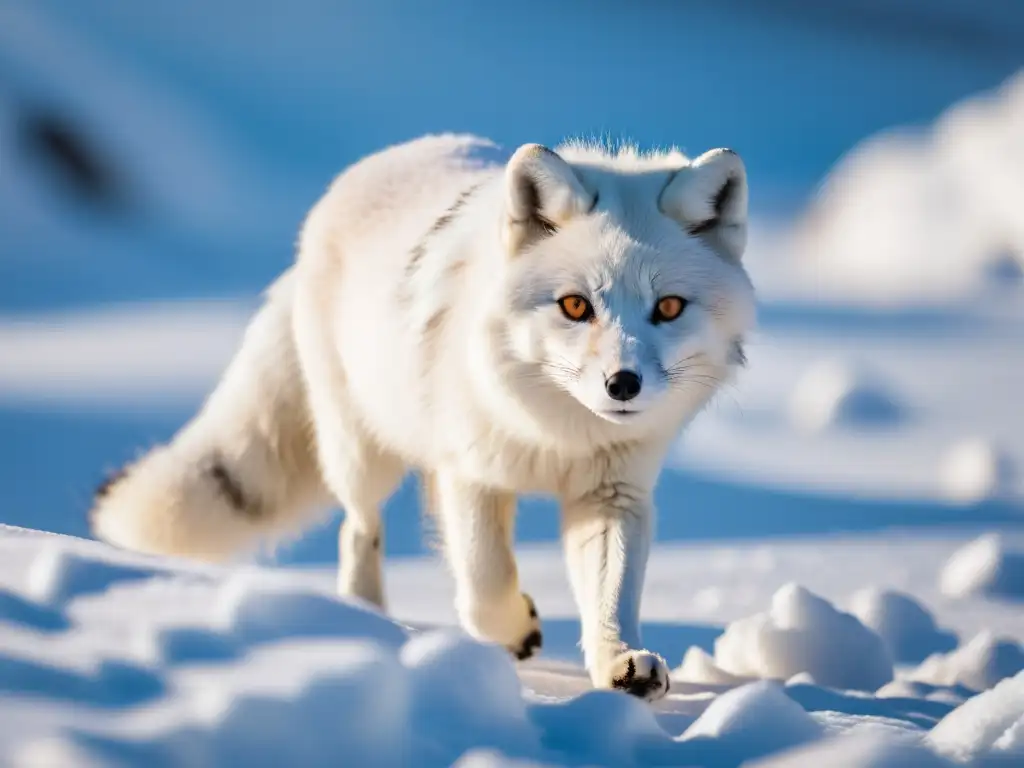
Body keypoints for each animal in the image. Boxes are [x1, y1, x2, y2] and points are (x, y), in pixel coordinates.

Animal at [90, 134, 753, 704]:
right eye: (575, 306)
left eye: (668, 308)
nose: (623, 384)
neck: (558, 435)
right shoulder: (474, 475)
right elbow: (485, 583)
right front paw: (513, 632)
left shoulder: (612, 495)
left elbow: (610, 598)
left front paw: (619, 664)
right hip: (363, 455)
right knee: (358, 528)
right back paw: (366, 619)